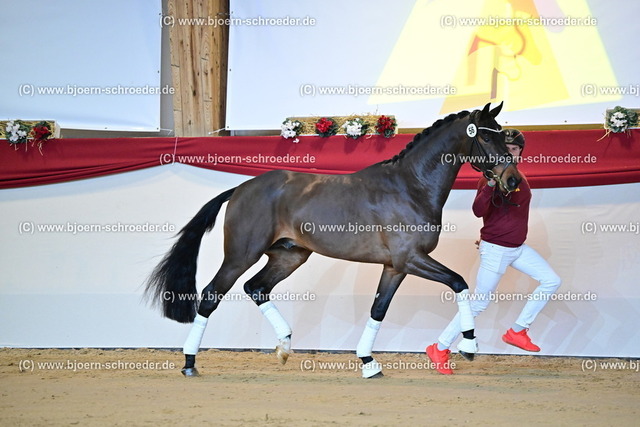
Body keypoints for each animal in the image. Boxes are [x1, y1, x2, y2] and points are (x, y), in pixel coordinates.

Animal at [145, 102, 521, 378]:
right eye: (487, 138)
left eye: (503, 138)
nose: (513, 180)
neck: (410, 187)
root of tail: (240, 188)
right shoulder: (411, 259)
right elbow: (458, 283)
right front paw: (469, 346)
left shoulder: (395, 267)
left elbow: (378, 309)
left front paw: (369, 363)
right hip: (241, 255)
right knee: (211, 295)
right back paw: (190, 363)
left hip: (290, 255)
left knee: (256, 288)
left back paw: (284, 347)